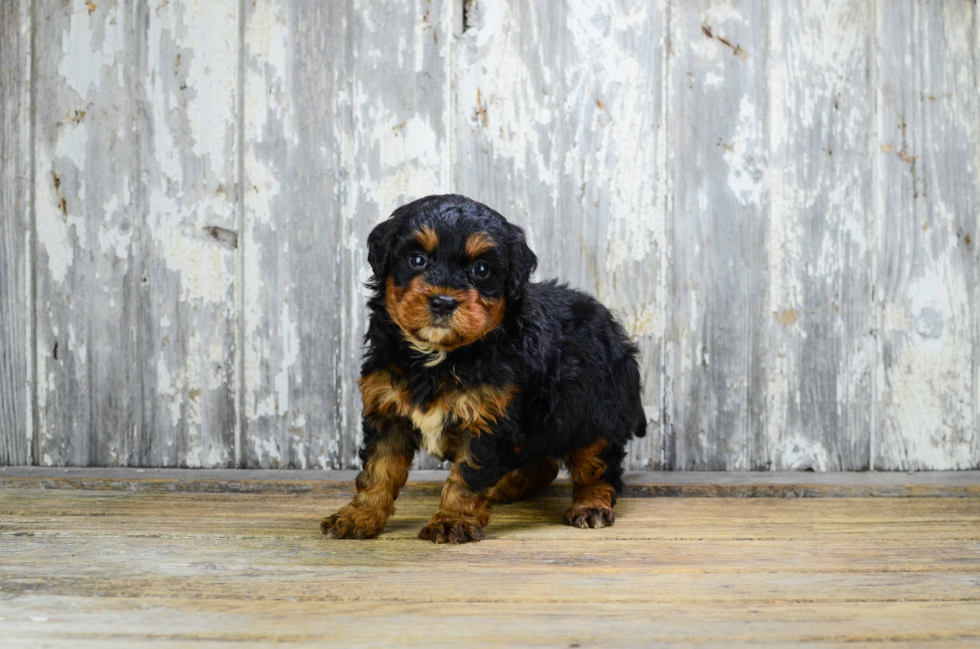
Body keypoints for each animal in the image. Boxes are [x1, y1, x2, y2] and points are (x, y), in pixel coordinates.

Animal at [318, 195, 648, 544]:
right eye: (418, 260)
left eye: (481, 269)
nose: (443, 302)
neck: (441, 357)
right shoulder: (387, 411)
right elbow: (378, 469)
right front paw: (359, 515)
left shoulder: (488, 420)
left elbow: (467, 476)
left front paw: (452, 521)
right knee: (543, 463)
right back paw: (506, 486)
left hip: (594, 412)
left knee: (596, 464)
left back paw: (590, 505)